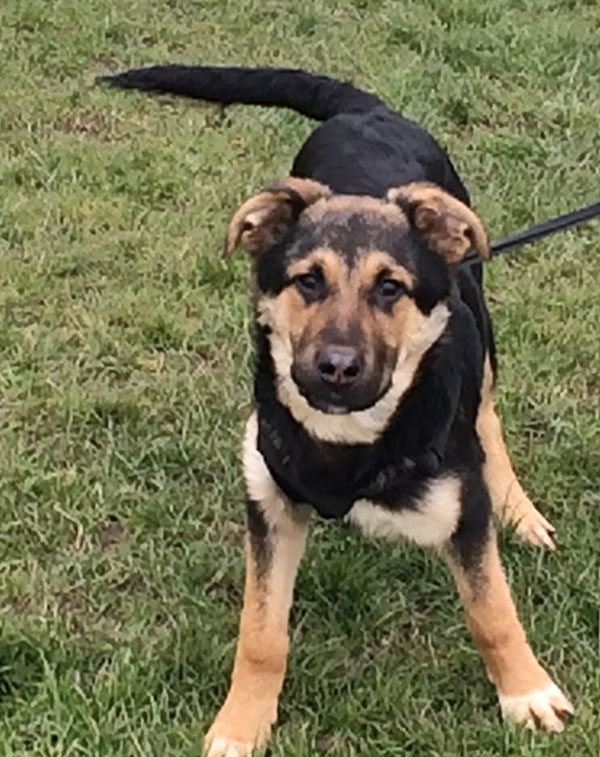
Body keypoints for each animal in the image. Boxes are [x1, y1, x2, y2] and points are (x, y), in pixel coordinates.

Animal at [102, 66, 572, 756]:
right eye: (308, 281)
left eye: (390, 288)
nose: (337, 368)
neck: (350, 435)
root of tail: (368, 111)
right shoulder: (268, 503)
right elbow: (261, 633)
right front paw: (241, 725)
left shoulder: (464, 514)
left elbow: (492, 611)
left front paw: (527, 694)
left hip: (481, 325)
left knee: (487, 413)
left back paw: (522, 512)